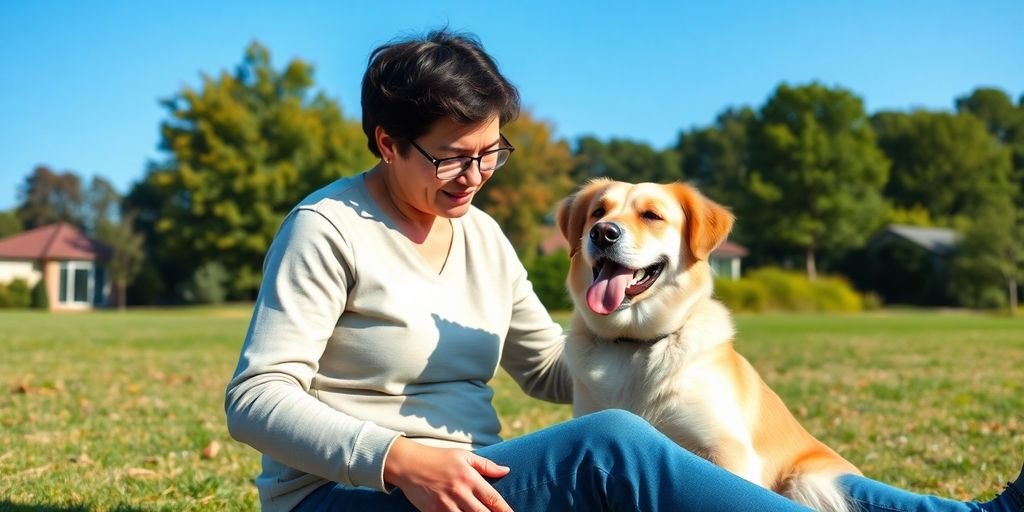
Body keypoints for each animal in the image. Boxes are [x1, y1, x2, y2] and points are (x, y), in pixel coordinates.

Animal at [557, 179, 860, 512]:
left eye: (651, 215)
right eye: (598, 212)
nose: (602, 232)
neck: (634, 344)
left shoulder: (726, 448)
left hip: (809, 482)